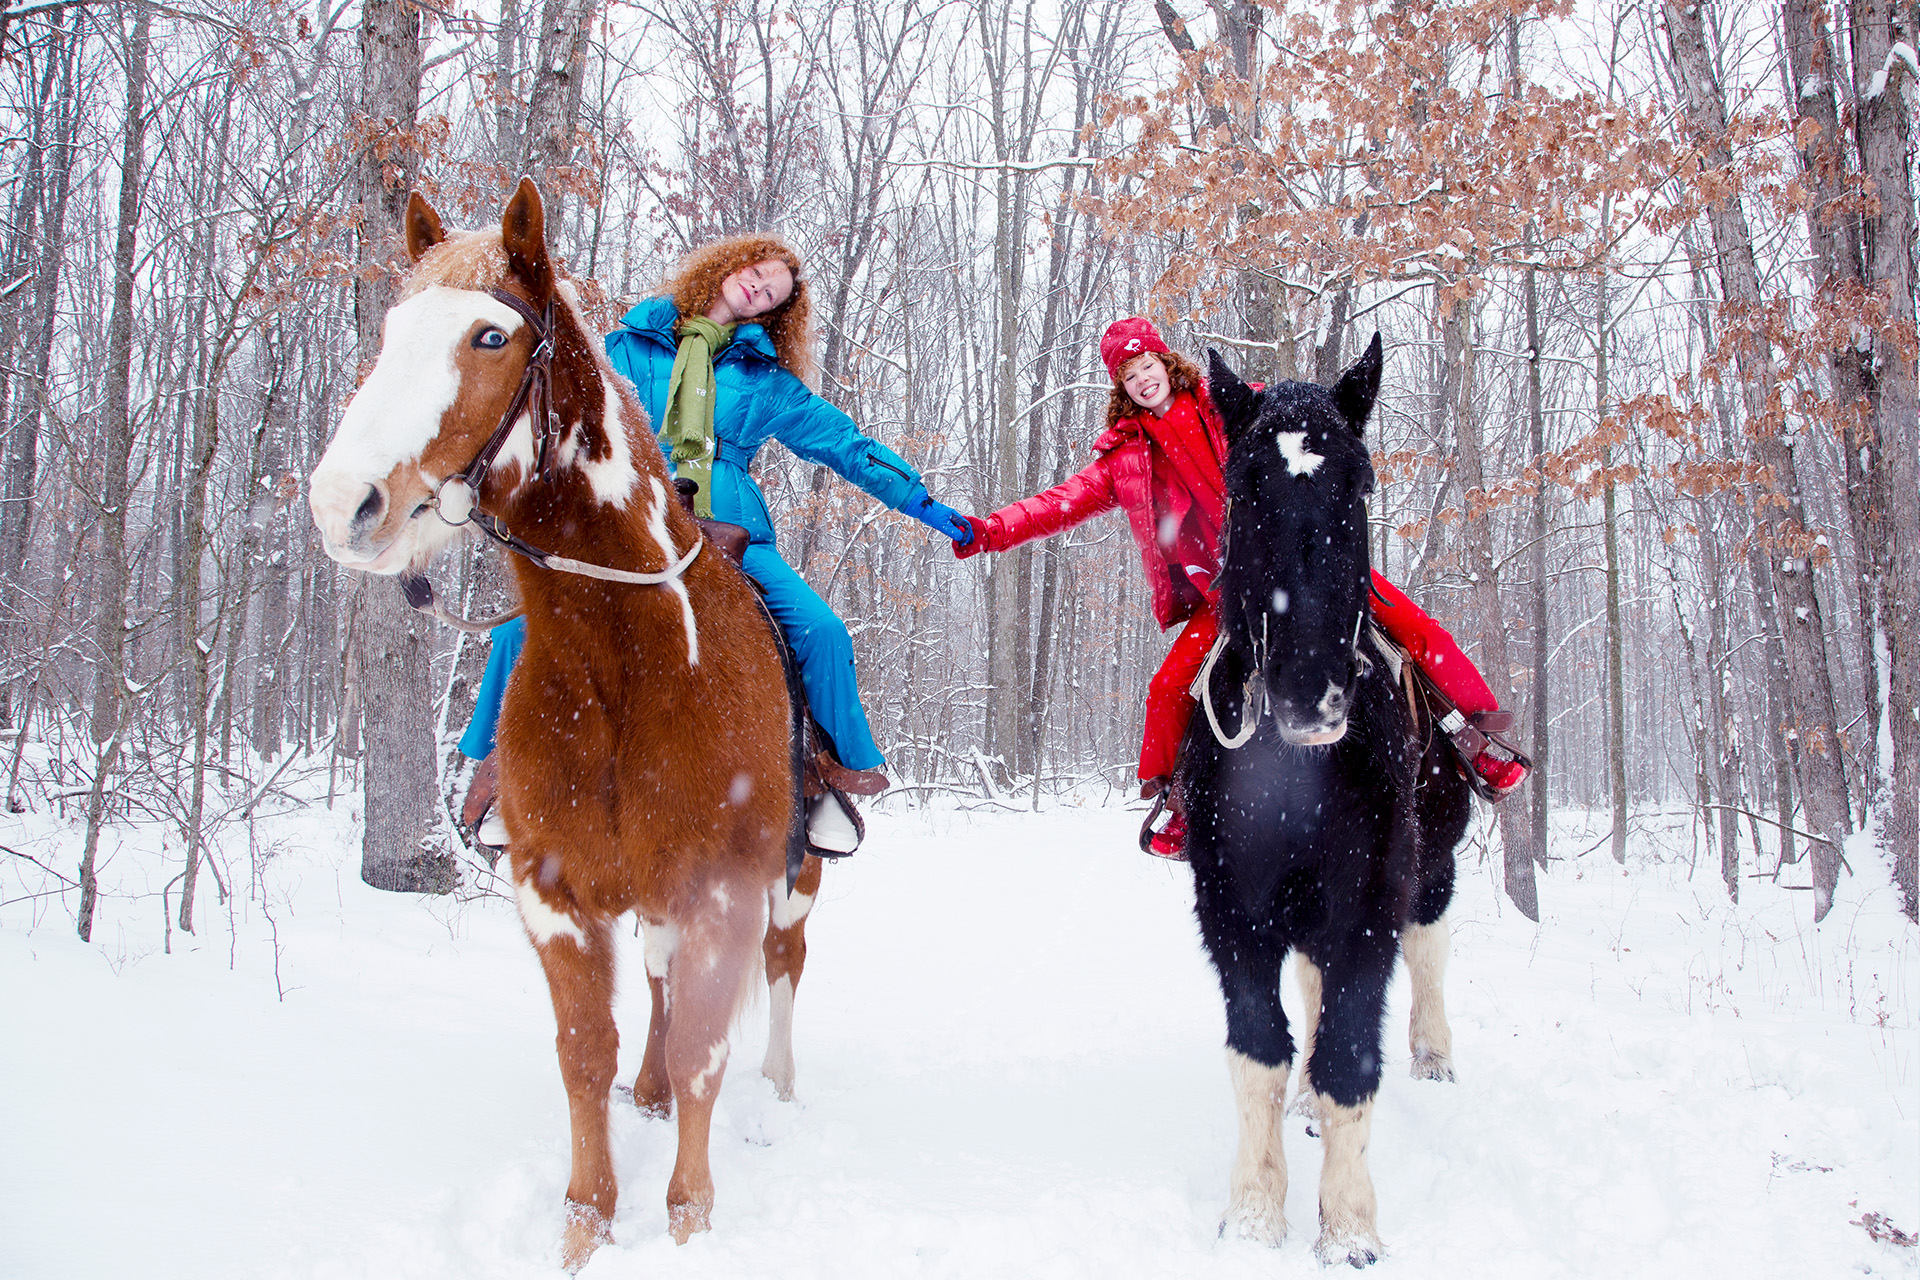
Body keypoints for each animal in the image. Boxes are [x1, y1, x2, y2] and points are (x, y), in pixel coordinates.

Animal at [309, 175, 825, 1266]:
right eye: (391, 329)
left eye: (490, 336)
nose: (343, 503)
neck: (625, 661)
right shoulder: (553, 897)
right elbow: (586, 1053)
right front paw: (587, 1224)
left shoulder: (724, 889)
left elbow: (709, 1043)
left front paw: (690, 1219)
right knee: (664, 986)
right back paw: (652, 1092)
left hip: (796, 878)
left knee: (783, 968)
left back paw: (778, 1086)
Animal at [1182, 343, 1466, 1274]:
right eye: (1244, 488)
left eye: (1361, 483)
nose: (1311, 691)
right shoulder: (1229, 905)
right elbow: (1260, 1050)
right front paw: (1253, 1217)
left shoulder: (1371, 901)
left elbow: (1349, 1054)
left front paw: (1348, 1229)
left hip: (1434, 865)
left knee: (1430, 945)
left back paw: (1435, 1057)